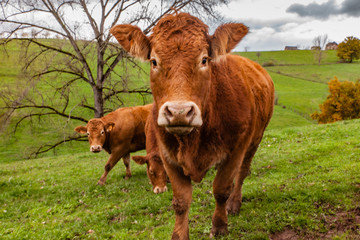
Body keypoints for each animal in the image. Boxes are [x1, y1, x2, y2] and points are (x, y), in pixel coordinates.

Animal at [111, 12, 274, 239]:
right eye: (154, 61)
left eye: (204, 59)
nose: (179, 112)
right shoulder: (168, 156)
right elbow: (180, 201)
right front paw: (179, 234)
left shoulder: (236, 149)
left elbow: (221, 189)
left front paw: (219, 225)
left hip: (255, 140)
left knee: (242, 172)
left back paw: (234, 203)